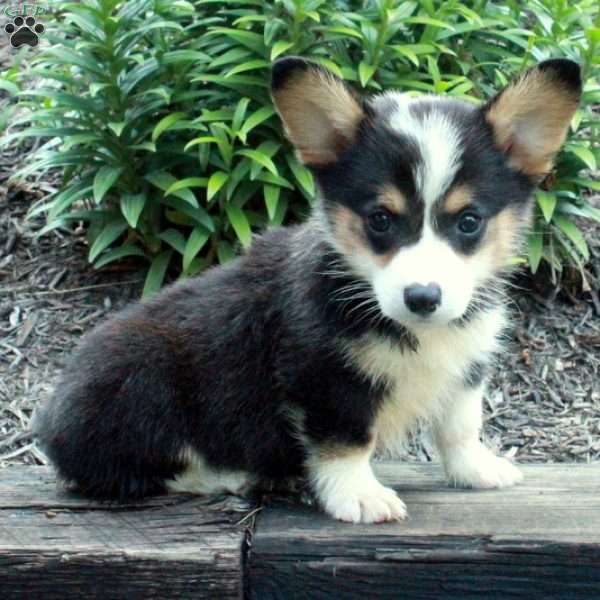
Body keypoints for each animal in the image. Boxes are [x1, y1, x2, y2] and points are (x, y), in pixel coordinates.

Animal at [34, 58, 580, 524]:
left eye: (469, 222)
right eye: (380, 220)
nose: (423, 298)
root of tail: (50, 421)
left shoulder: (467, 364)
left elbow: (460, 425)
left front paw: (478, 470)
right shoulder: (324, 377)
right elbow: (346, 440)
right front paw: (359, 496)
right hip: (141, 380)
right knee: (143, 469)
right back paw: (234, 476)